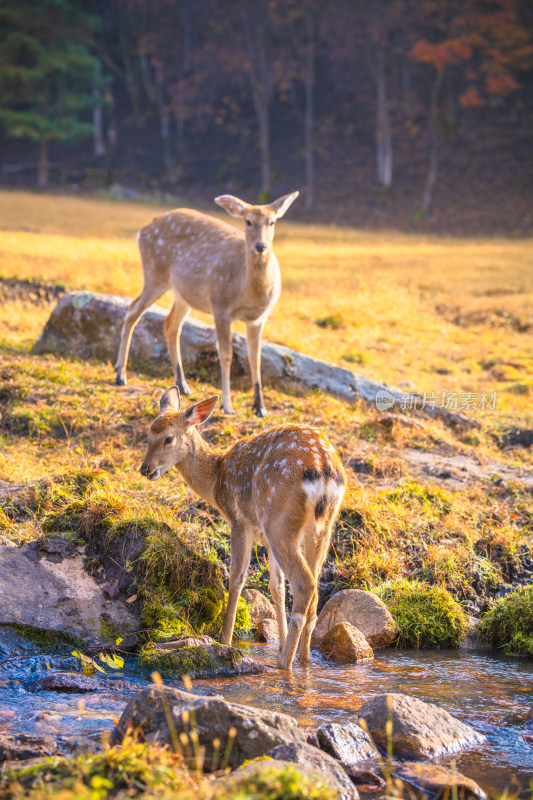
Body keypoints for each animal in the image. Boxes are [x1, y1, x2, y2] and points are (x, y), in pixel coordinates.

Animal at [115, 191, 300, 416]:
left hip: (183, 294)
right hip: (155, 274)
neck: (249, 292)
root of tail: (142, 230)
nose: (260, 246)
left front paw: (260, 408)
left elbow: (255, 359)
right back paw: (120, 374)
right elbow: (226, 354)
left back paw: (183, 385)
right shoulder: (220, 307)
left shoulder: (258, 318)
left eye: (272, 222)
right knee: (133, 310)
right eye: (247, 221)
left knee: (170, 324)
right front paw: (227, 405)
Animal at [139, 386, 344, 668]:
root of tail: (324, 468)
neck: (216, 481)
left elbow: (236, 577)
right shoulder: (264, 536)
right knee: (313, 589)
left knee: (304, 583)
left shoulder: (239, 521)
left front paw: (224, 640)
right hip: (320, 528)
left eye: (168, 438)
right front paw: (279, 642)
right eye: (148, 434)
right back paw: (302, 661)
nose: (145, 469)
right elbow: (276, 587)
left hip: (279, 520)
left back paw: (284, 664)